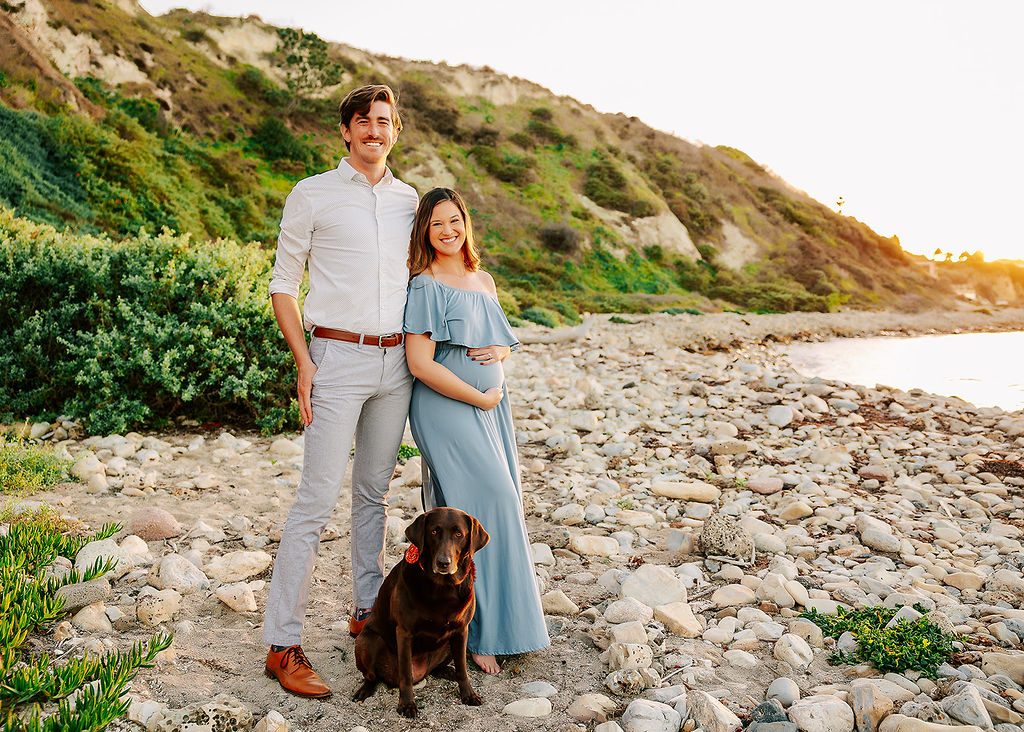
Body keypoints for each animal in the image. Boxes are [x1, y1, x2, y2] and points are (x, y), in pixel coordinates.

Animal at [354, 507, 489, 720]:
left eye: (459, 534)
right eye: (434, 531)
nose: (443, 563)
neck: (443, 588)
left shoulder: (462, 631)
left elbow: (463, 668)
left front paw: (468, 694)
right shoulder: (404, 633)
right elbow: (406, 675)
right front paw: (407, 704)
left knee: (439, 668)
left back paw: (447, 671)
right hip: (367, 640)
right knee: (372, 675)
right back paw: (365, 690)